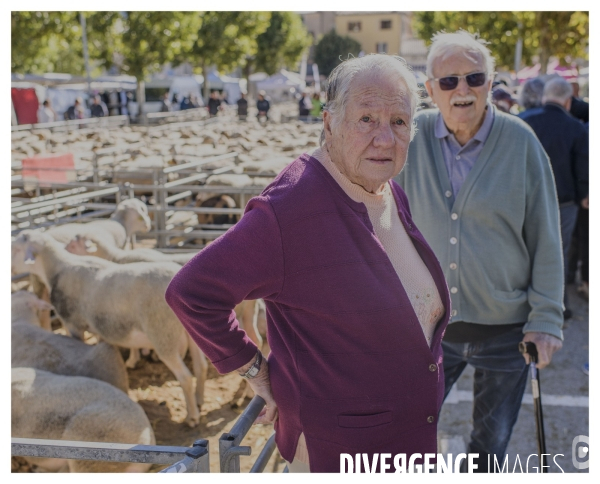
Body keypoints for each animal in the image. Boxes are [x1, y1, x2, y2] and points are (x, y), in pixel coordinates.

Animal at [12, 229, 209, 426]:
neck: (58, 269)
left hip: (162, 333)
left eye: (16, 249)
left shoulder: (73, 324)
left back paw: (192, 417)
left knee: (185, 376)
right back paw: (199, 400)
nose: (11, 270)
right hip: (191, 333)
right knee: (201, 366)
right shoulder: (101, 326)